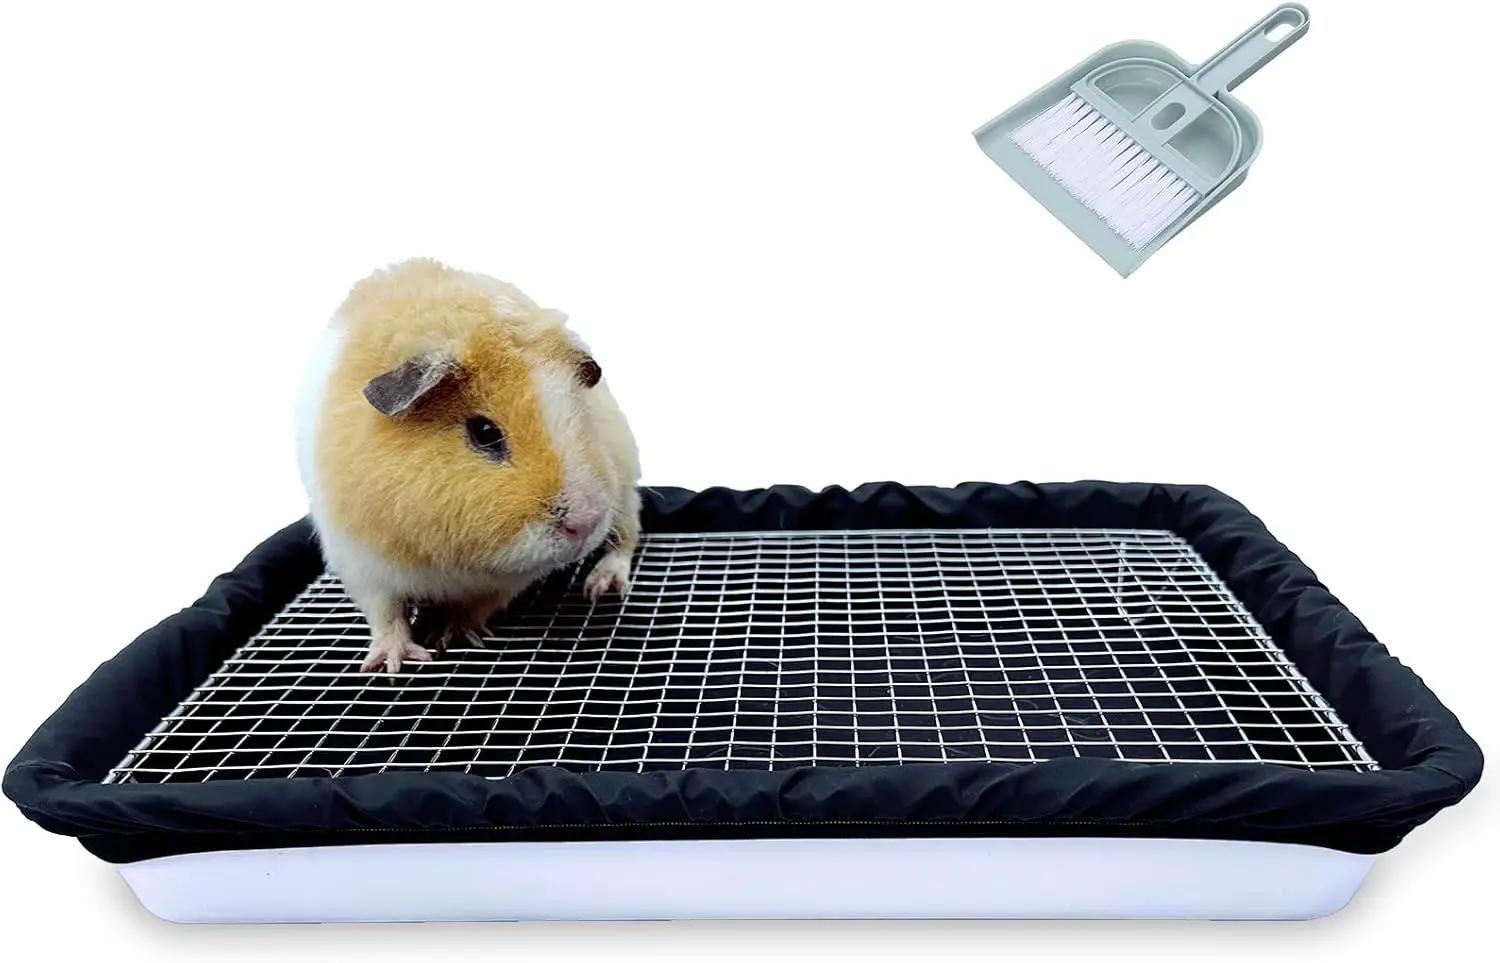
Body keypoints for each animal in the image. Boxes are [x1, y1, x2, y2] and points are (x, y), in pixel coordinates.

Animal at [294, 257, 642, 673]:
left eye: (580, 413)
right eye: (484, 432)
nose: (584, 524)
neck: (451, 558)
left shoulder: (508, 580)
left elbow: (477, 606)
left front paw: (448, 636)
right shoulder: (362, 564)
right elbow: (387, 614)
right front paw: (393, 665)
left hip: (624, 490)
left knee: (626, 538)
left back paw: (600, 587)